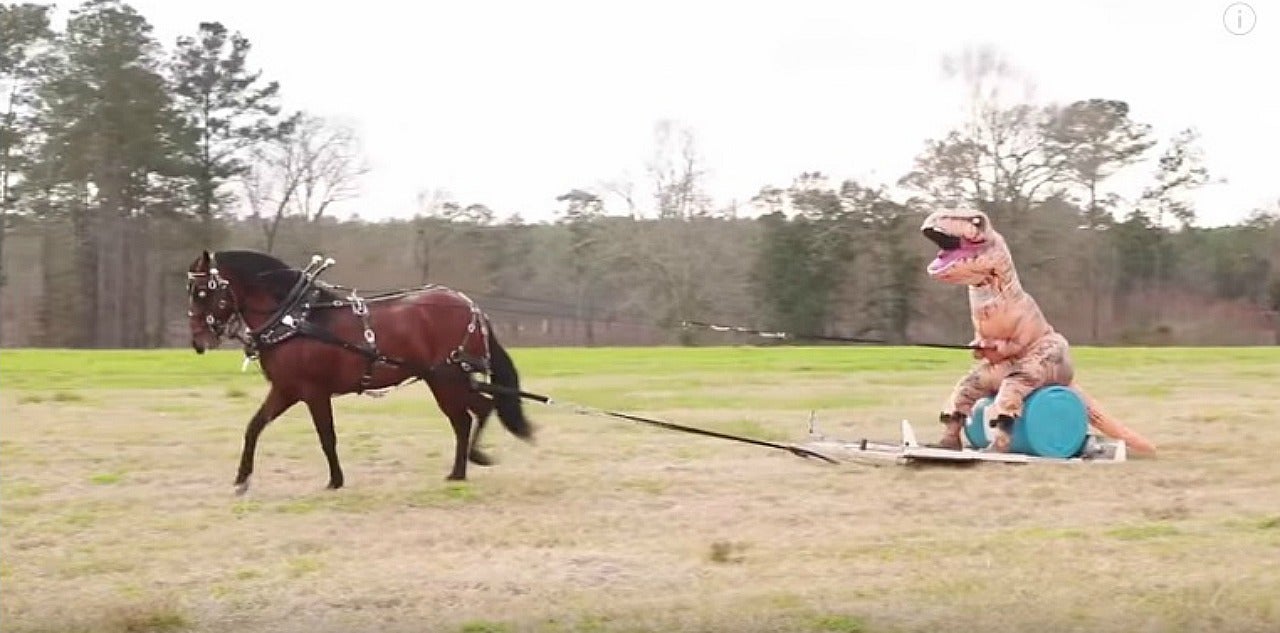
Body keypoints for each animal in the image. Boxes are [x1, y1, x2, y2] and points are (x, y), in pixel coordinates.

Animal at [184, 249, 534, 495]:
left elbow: (327, 437)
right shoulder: (285, 390)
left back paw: (471, 461)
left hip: (449, 379)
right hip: (444, 380)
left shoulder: (313, 392)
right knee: (471, 415)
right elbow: (254, 427)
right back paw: (460, 470)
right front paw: (242, 479)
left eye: (202, 291)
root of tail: (472, 307)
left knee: (476, 412)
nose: (198, 341)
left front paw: (335, 480)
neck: (295, 318)